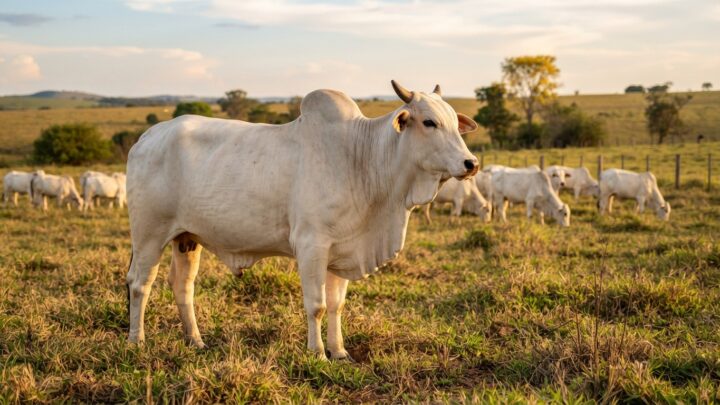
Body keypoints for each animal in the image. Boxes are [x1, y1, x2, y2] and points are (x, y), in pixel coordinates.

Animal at [125, 81, 479, 360]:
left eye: (454, 122)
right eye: (429, 122)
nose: (471, 163)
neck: (362, 159)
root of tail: (147, 137)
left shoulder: (342, 249)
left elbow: (336, 305)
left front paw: (340, 351)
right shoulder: (312, 246)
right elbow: (316, 305)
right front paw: (318, 352)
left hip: (187, 238)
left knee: (182, 286)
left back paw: (195, 340)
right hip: (148, 235)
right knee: (140, 284)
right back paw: (137, 341)